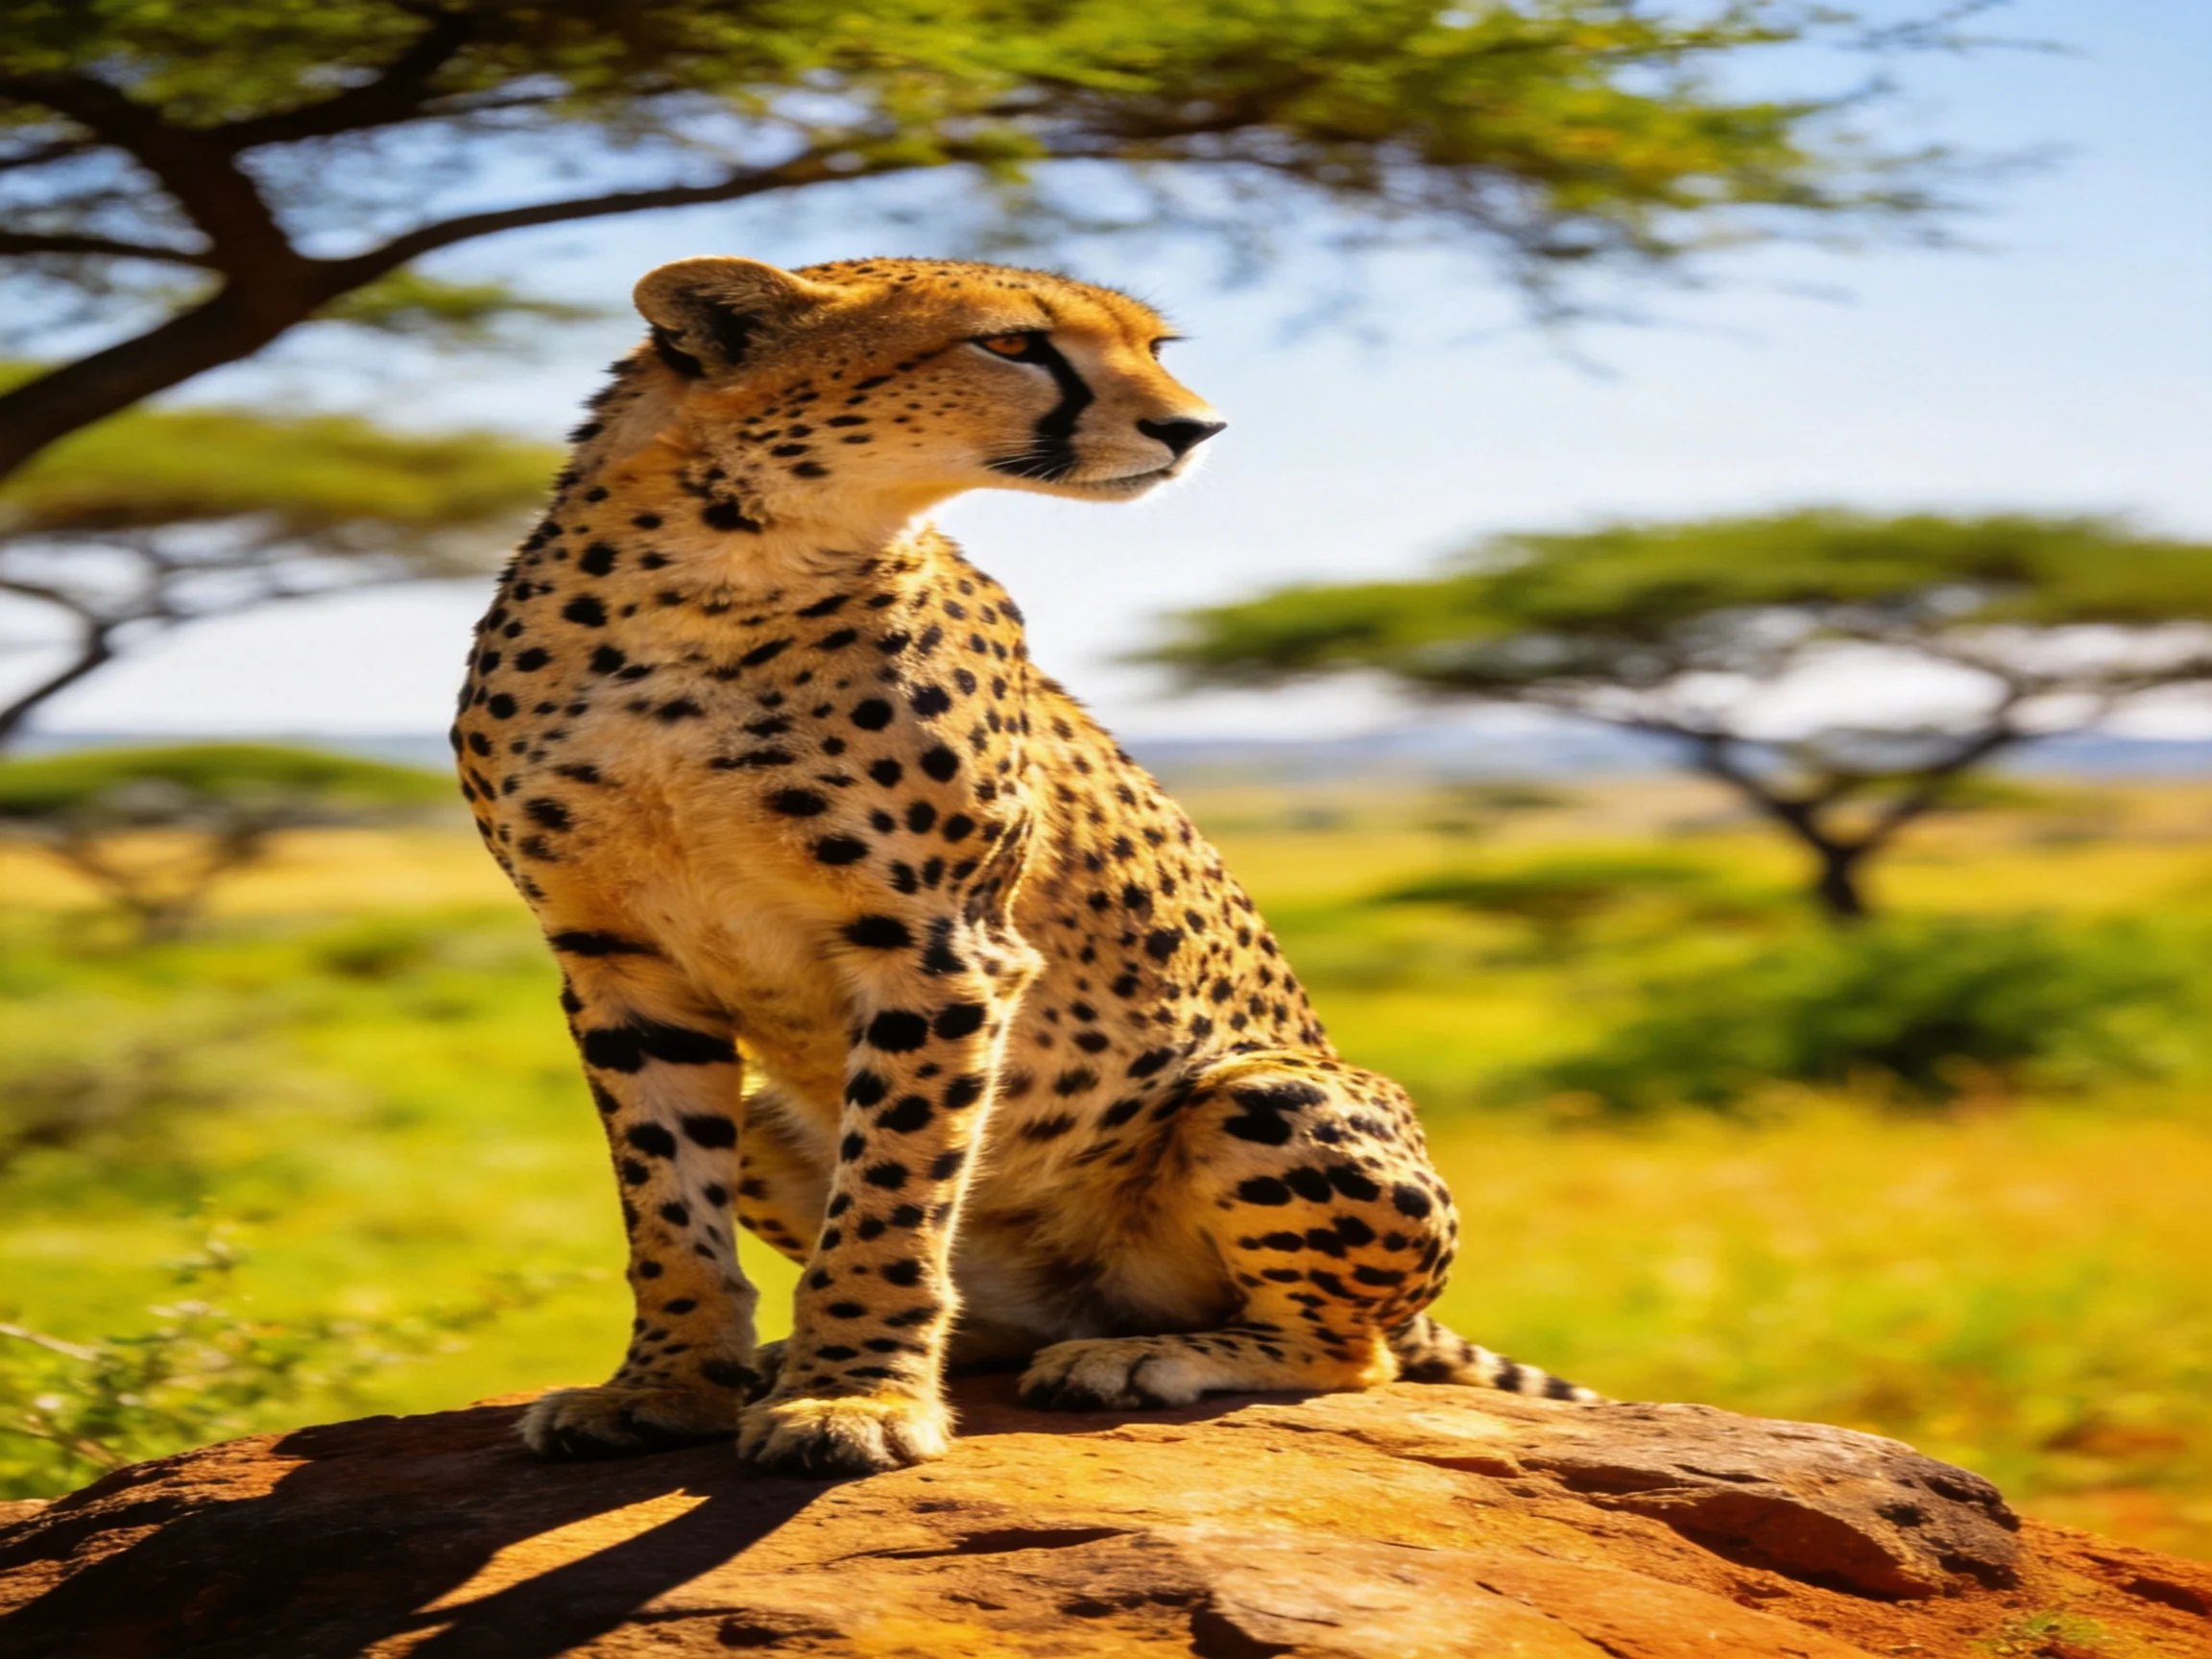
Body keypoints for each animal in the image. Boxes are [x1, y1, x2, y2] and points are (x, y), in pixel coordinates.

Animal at [452, 254, 1596, 1477]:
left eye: (1158, 345)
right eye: (1009, 344)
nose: (1195, 427)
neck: (721, 570)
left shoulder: (941, 946)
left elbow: (893, 1192)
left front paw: (853, 1395)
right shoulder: (614, 957)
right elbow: (666, 1202)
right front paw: (664, 1385)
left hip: (1272, 1096)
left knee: (1350, 1352)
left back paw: (1144, 1356)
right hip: (774, 1113)